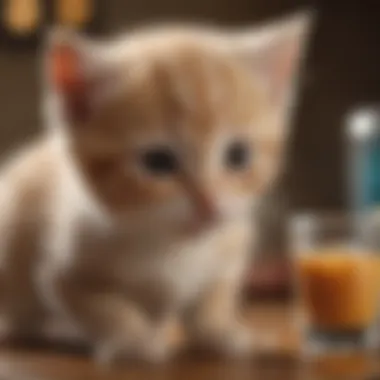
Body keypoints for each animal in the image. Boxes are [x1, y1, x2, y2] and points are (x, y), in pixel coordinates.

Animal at [0, 11, 310, 362]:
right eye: (158, 161)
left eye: (238, 155)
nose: (209, 203)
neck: (173, 245)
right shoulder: (61, 272)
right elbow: (106, 308)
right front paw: (132, 342)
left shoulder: (230, 246)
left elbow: (211, 301)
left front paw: (223, 335)